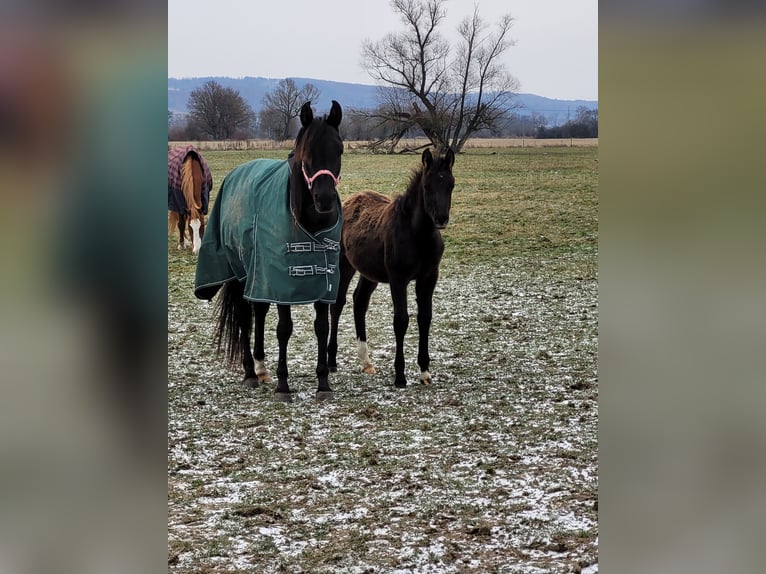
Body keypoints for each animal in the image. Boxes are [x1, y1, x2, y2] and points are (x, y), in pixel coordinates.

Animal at [195, 101, 344, 402]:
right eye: (306, 153)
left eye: (339, 149)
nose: (324, 199)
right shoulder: (281, 283)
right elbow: (284, 329)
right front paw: (283, 385)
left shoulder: (324, 284)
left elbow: (321, 327)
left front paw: (323, 383)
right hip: (241, 274)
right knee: (244, 315)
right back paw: (250, 372)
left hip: (257, 274)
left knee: (259, 310)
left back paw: (262, 367)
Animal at [328, 148, 456, 390]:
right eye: (427, 186)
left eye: (451, 184)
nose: (441, 219)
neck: (418, 235)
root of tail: (349, 200)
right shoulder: (398, 279)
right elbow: (401, 321)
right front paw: (400, 376)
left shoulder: (429, 277)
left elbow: (425, 318)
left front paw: (425, 372)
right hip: (344, 265)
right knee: (338, 304)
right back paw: (331, 361)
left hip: (370, 273)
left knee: (360, 302)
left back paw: (366, 362)